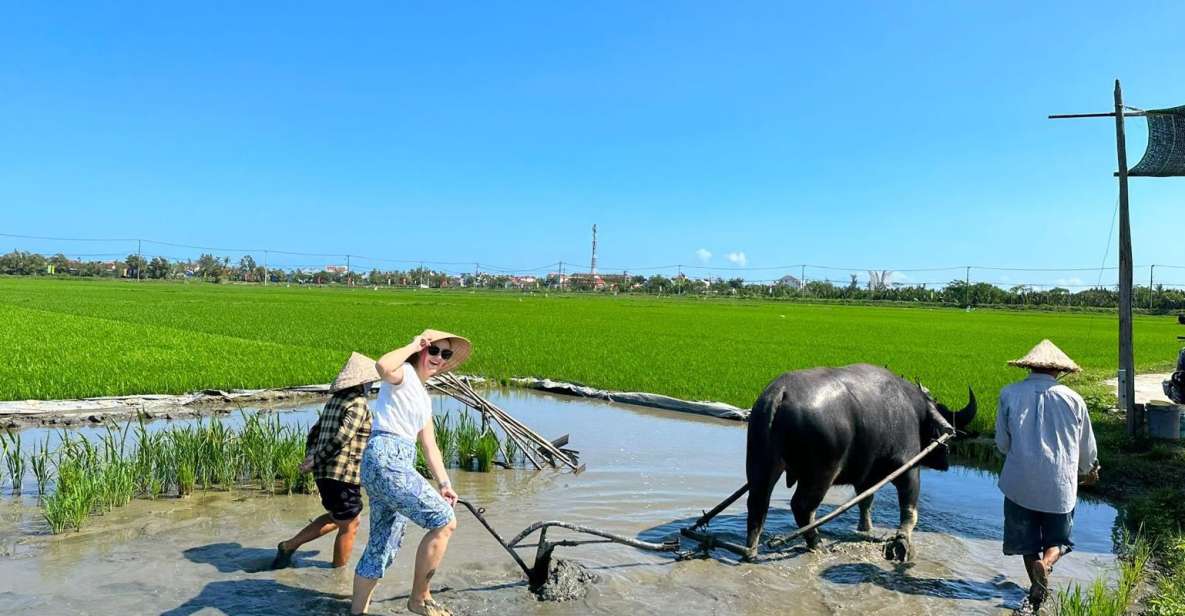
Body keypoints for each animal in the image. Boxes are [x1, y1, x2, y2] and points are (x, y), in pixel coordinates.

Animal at [744, 362, 976, 561]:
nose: (945, 462)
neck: (913, 408)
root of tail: (780, 393)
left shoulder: (865, 476)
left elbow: (866, 502)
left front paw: (866, 529)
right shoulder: (908, 467)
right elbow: (909, 510)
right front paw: (903, 542)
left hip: (761, 464)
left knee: (758, 504)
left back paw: (751, 550)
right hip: (821, 473)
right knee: (802, 507)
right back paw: (817, 544)